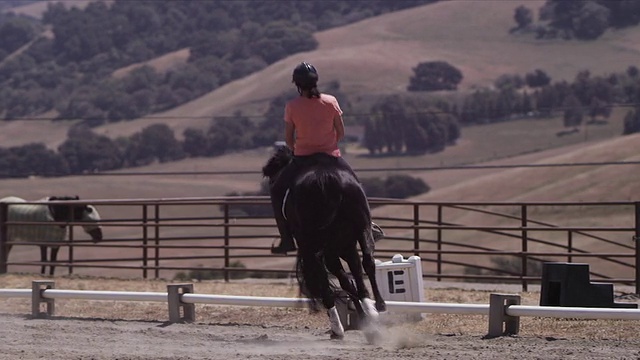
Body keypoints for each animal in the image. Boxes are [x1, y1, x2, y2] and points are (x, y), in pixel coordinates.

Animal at [264, 148, 388, 342]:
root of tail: (327, 179)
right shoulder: (344, 247)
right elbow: (350, 278)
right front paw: (365, 316)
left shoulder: (329, 251)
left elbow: (342, 281)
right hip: (361, 229)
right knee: (367, 261)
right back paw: (378, 307)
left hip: (319, 247)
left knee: (326, 277)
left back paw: (339, 326)